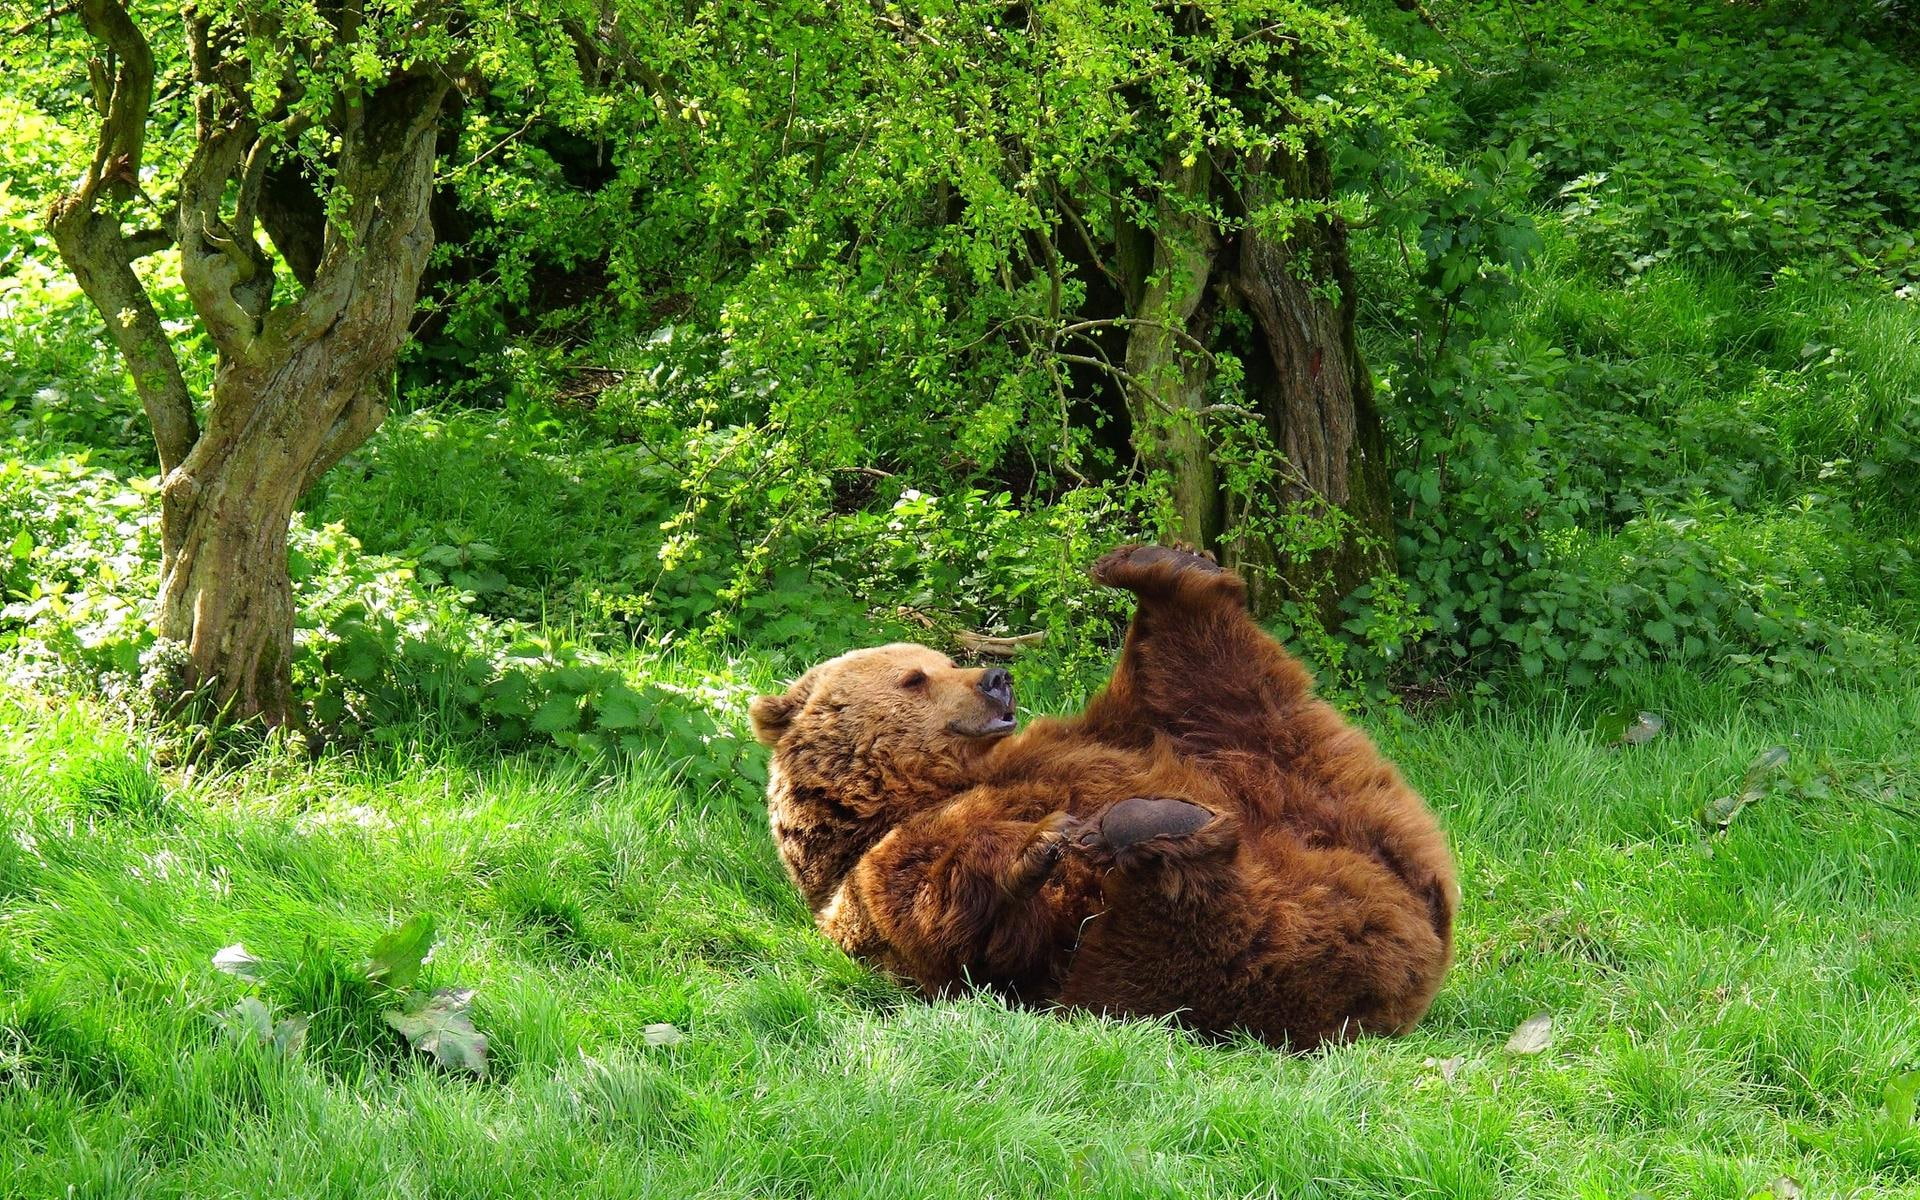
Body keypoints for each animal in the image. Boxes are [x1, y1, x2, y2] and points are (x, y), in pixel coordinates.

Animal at [748, 544, 1457, 1048]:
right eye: (915, 678)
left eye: (946, 660)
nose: (996, 677)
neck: (918, 788)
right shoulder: (879, 879)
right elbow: (946, 913)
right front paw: (1041, 840)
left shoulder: (1080, 738)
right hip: (1170, 966)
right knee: (1211, 926)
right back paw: (1156, 829)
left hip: (1278, 768)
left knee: (1218, 684)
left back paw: (1167, 570)